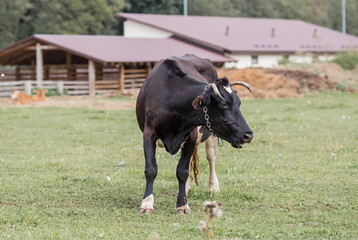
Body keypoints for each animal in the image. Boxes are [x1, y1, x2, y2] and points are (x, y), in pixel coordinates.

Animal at [136, 54, 253, 214]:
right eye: (224, 105)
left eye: (239, 104)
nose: (248, 135)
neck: (171, 97)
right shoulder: (149, 134)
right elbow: (150, 169)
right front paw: (147, 204)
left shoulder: (191, 136)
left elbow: (182, 171)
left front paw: (182, 204)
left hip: (209, 134)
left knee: (211, 157)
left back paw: (212, 186)